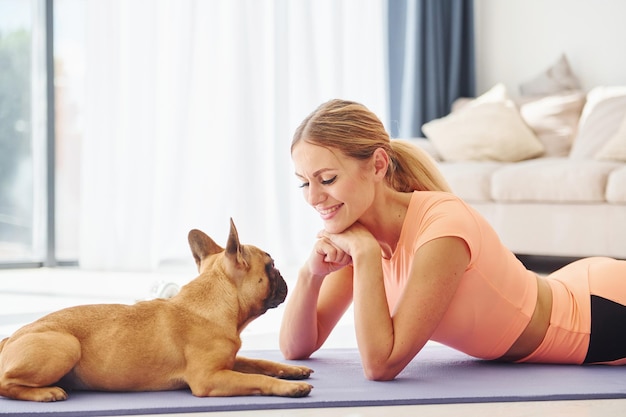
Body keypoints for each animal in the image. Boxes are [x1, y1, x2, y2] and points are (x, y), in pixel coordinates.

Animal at [0, 219, 312, 402]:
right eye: (271, 266)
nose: (283, 276)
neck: (216, 302)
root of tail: (9, 339)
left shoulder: (228, 362)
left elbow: (259, 363)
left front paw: (291, 370)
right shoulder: (209, 378)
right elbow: (256, 378)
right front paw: (288, 387)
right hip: (65, 345)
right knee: (5, 383)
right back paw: (46, 392)